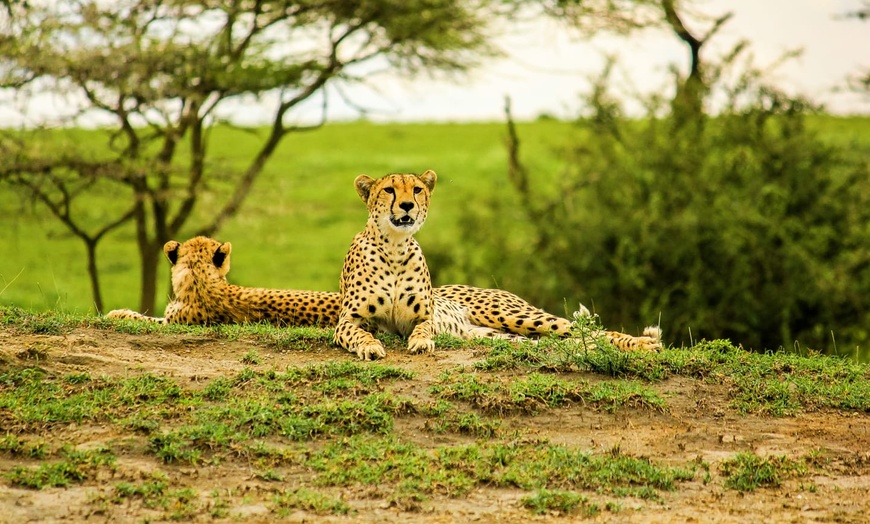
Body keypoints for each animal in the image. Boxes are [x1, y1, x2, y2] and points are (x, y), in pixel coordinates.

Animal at [334, 171, 660, 360]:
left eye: (416, 190)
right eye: (389, 190)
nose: (406, 206)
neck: (394, 246)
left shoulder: (423, 317)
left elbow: (424, 329)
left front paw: (421, 343)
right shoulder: (347, 321)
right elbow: (358, 333)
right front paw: (369, 346)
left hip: (512, 315)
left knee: (590, 331)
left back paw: (643, 344)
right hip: (505, 334)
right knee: (573, 340)